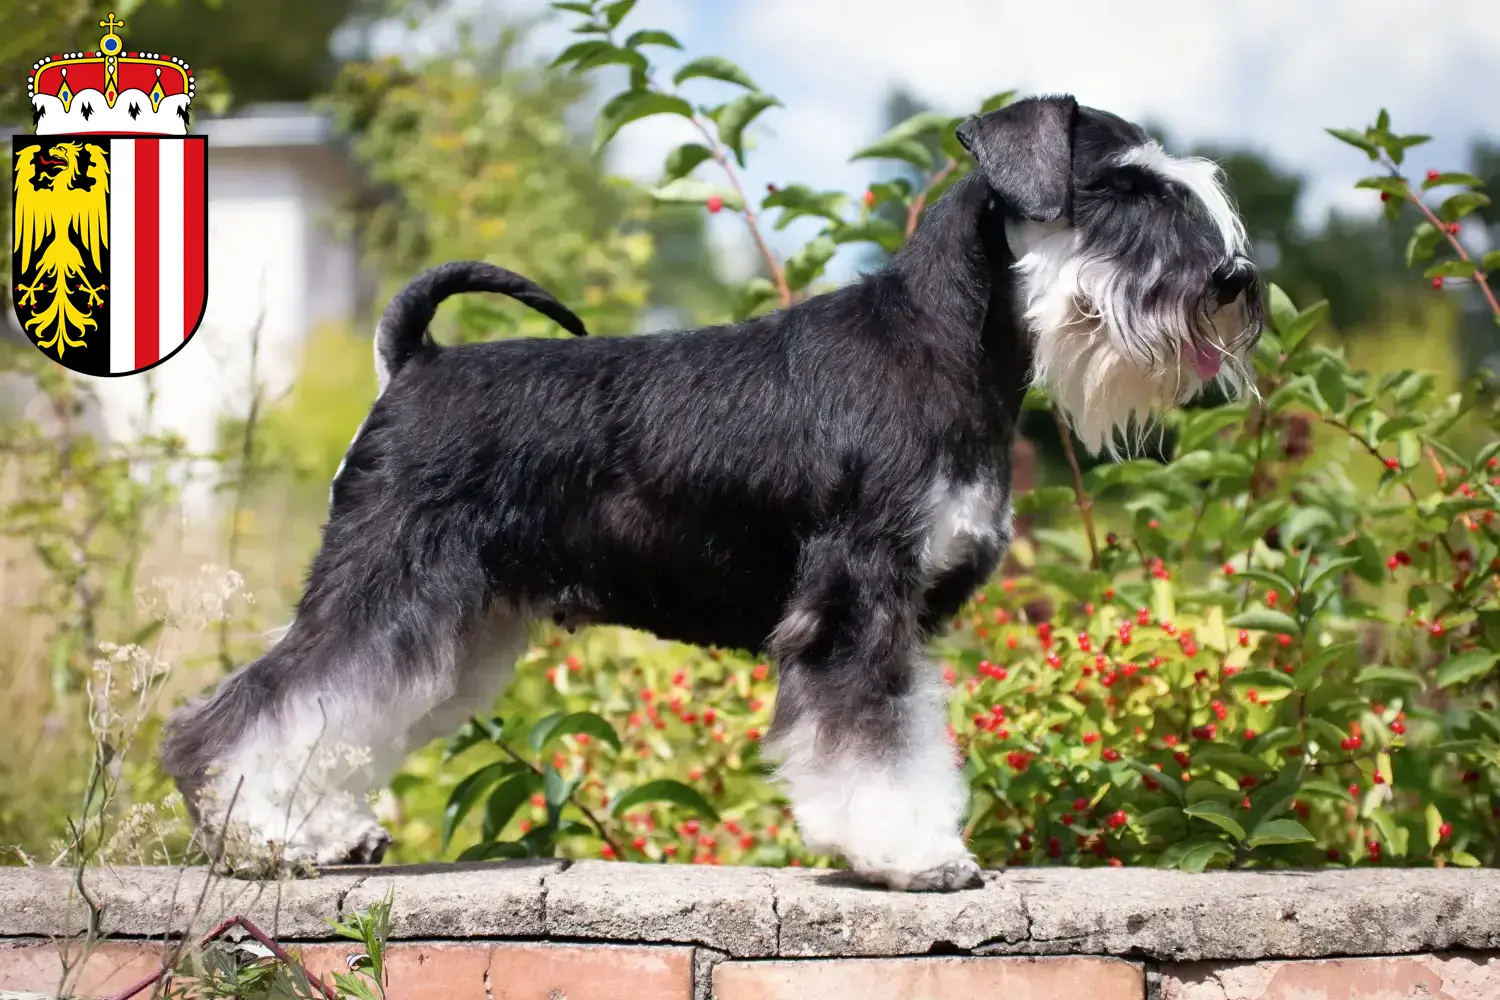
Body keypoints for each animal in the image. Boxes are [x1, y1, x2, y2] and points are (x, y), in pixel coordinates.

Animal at [162, 94, 1262, 891]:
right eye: (1120, 187)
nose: (1234, 279)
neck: (947, 348)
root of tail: (414, 361)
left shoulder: (905, 615)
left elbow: (910, 734)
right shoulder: (855, 604)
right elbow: (874, 744)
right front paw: (913, 857)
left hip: (457, 623)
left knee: (345, 712)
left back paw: (323, 836)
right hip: (387, 582)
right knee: (253, 707)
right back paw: (261, 836)